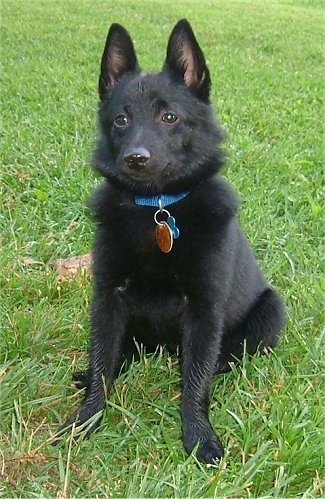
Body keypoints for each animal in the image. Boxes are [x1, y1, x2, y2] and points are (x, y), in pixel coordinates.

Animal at [59, 19, 284, 464]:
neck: (158, 210)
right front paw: (85, 421)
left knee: (223, 359)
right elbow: (102, 364)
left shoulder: (203, 311)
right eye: (121, 119)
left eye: (169, 116)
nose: (136, 158)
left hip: (271, 311)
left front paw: (198, 437)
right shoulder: (108, 298)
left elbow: (195, 383)